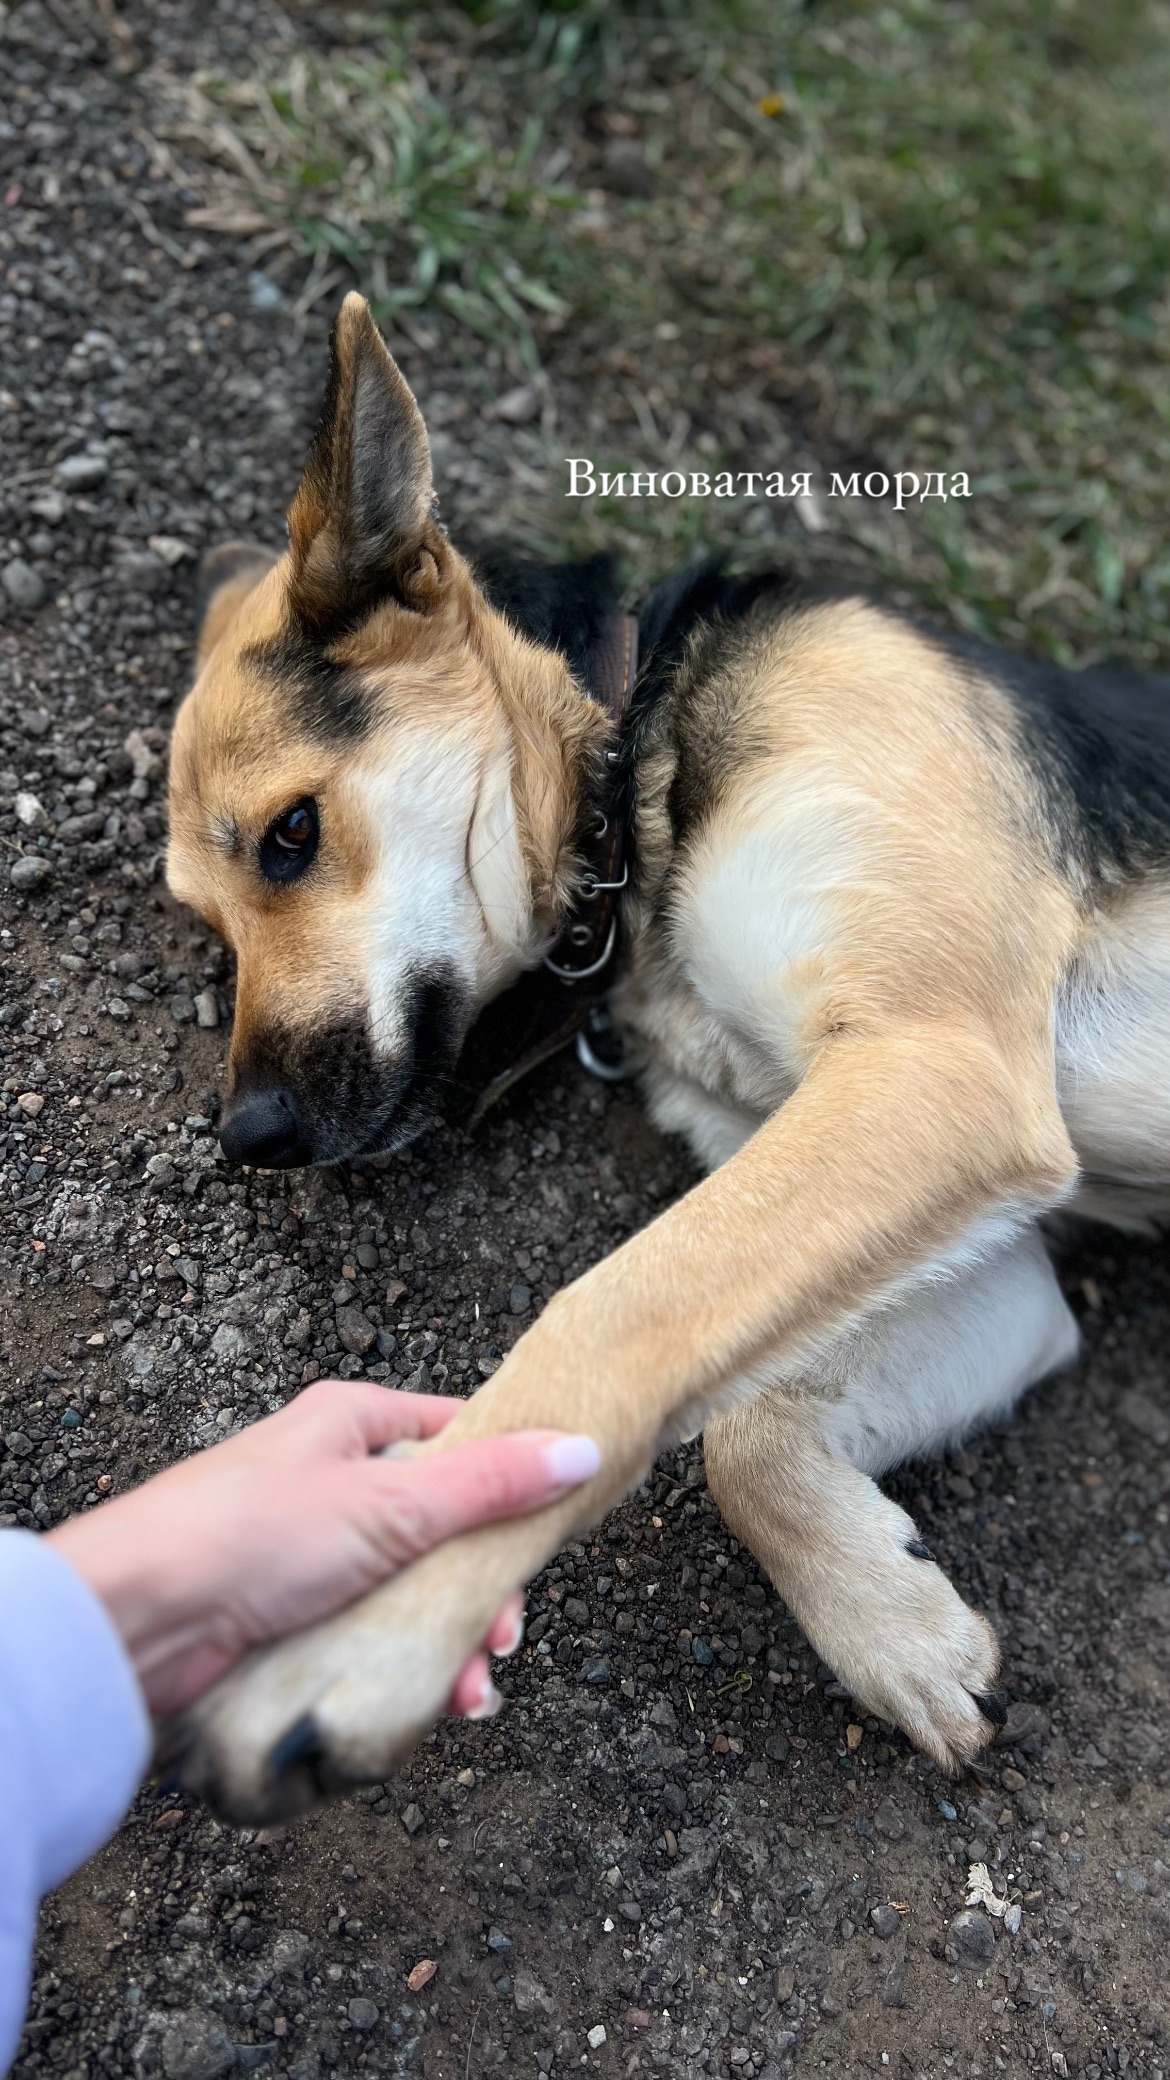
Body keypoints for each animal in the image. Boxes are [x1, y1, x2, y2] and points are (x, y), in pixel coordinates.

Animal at [161, 293, 1165, 1822]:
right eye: (203, 922)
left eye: (290, 834)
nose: (250, 1138)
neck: (633, 755)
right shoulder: (984, 1246)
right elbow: (745, 1429)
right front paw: (891, 1620)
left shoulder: (936, 1074)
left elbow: (612, 1322)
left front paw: (369, 1633)